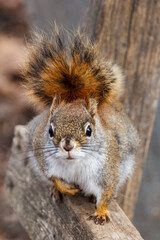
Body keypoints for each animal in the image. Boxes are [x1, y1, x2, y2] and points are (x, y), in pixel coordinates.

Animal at [22, 29, 139, 225]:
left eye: (89, 131)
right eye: (50, 131)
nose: (67, 145)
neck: (74, 164)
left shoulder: (107, 171)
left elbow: (107, 192)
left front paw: (101, 211)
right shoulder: (42, 157)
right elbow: (52, 176)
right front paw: (63, 187)